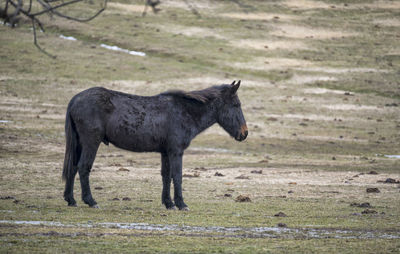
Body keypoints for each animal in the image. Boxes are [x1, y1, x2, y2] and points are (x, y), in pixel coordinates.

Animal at [62, 81, 247, 210]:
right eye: (236, 105)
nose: (244, 133)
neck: (184, 112)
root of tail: (75, 100)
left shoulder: (165, 152)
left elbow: (166, 176)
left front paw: (169, 203)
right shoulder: (176, 151)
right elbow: (177, 176)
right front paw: (181, 204)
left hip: (79, 143)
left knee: (73, 167)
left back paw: (71, 200)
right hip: (91, 143)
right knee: (83, 167)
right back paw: (91, 201)